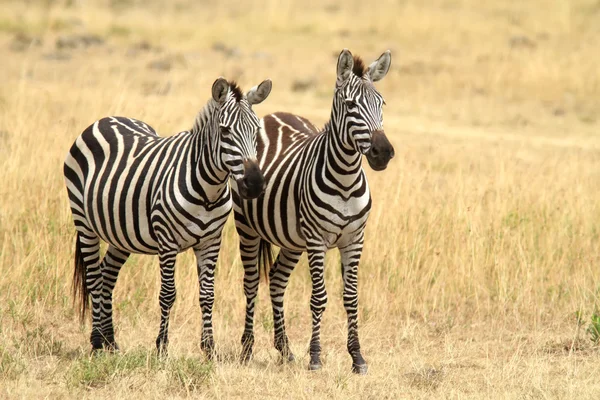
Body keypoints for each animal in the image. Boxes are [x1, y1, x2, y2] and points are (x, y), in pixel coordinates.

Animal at [62, 76, 272, 354]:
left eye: (256, 132)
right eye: (226, 131)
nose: (255, 184)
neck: (209, 190)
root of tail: (104, 120)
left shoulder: (211, 241)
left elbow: (208, 294)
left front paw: (209, 348)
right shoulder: (167, 240)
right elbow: (168, 294)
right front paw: (161, 346)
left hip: (121, 233)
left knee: (107, 275)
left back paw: (110, 341)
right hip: (84, 222)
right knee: (94, 278)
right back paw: (97, 342)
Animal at [232, 50, 396, 376]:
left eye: (381, 103)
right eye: (351, 105)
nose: (383, 153)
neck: (346, 179)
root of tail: (272, 115)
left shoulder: (354, 240)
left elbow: (351, 298)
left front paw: (357, 357)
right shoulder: (317, 240)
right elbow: (319, 298)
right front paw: (316, 357)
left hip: (293, 240)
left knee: (277, 279)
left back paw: (284, 350)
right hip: (248, 229)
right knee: (252, 283)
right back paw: (246, 350)